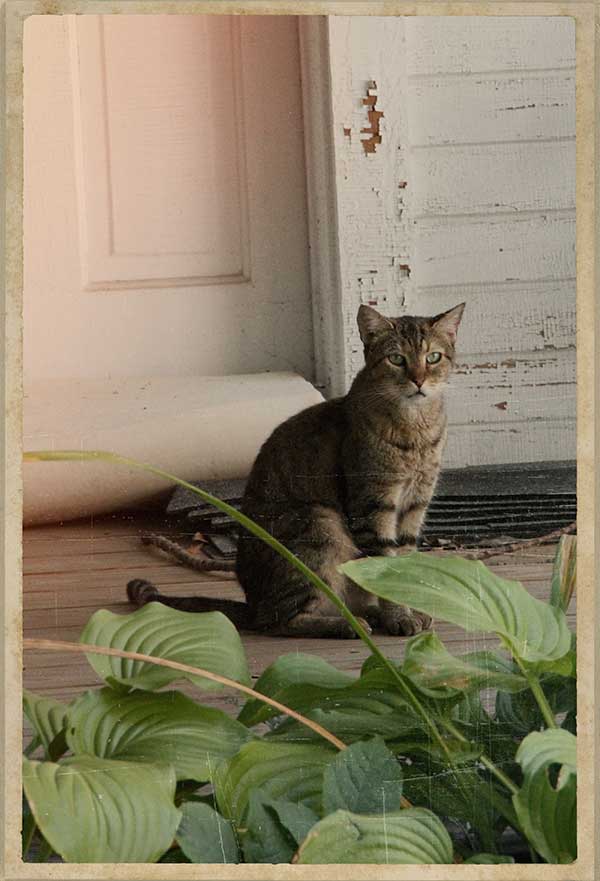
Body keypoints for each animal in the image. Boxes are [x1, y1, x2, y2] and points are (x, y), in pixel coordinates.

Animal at [127, 300, 464, 632]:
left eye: (433, 357)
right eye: (396, 359)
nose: (419, 380)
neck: (415, 429)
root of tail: (252, 604)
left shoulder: (416, 502)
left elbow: (403, 559)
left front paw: (409, 611)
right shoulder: (373, 504)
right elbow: (383, 563)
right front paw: (398, 617)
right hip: (320, 524)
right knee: (286, 620)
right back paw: (350, 625)